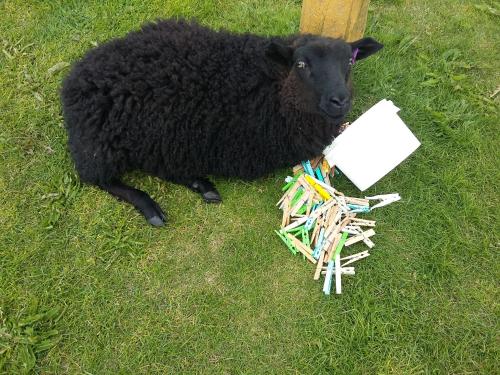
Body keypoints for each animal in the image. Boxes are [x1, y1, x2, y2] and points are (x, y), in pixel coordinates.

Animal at [61, 19, 382, 225]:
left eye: (350, 61)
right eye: (301, 64)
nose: (339, 100)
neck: (273, 87)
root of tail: (76, 77)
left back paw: (201, 184)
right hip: (108, 143)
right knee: (99, 178)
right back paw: (151, 207)